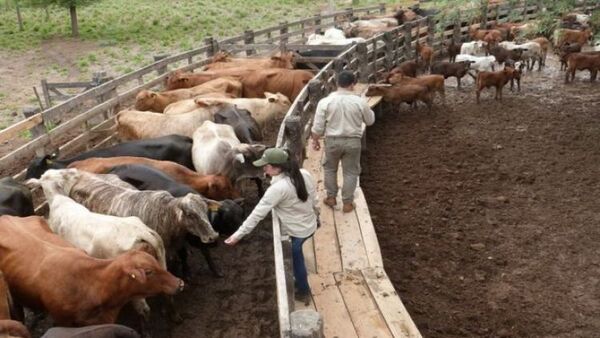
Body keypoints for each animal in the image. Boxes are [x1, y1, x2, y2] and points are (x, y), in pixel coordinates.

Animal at [106, 163, 244, 278]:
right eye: (230, 219)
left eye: (241, 215)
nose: (244, 237)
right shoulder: (179, 240)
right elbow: (184, 255)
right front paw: (187, 273)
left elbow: (206, 254)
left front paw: (216, 271)